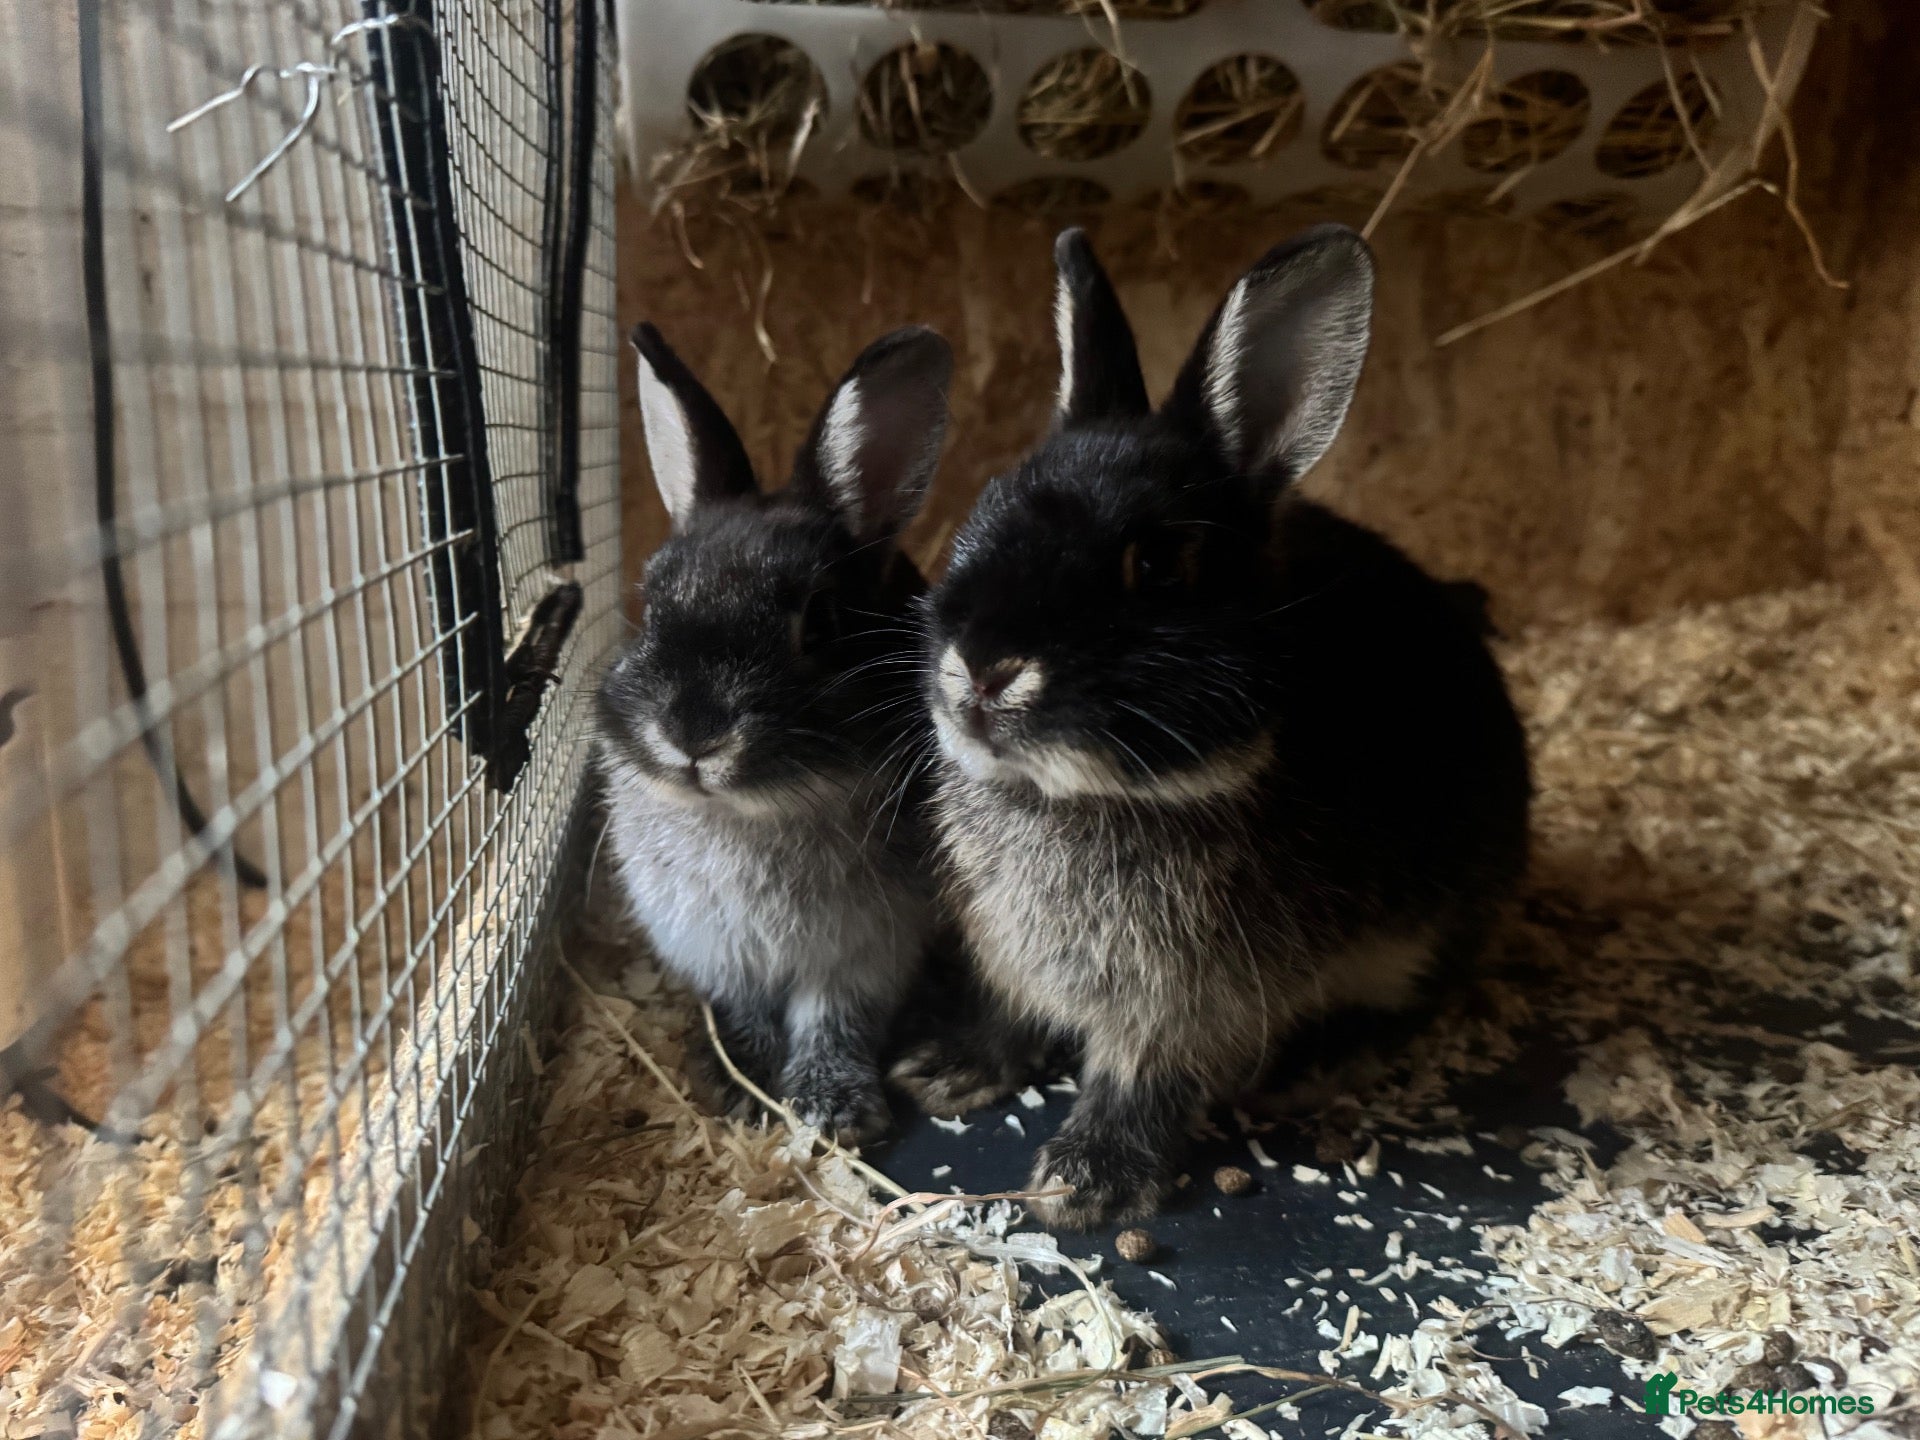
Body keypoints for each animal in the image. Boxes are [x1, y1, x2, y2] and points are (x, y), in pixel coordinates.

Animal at [596, 321, 952, 1145]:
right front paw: (743, 1090)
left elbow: (835, 1021)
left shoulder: (868, 951)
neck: (749, 815)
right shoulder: (715, 951)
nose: (693, 732)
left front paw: (835, 1110)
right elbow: (745, 1013)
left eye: (819, 621)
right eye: (652, 600)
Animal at [892, 225, 1531, 1227]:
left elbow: (1144, 1080)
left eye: (1156, 563)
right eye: (982, 511)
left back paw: (1309, 1067)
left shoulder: (1187, 1007)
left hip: (1428, 928)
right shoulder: (1010, 957)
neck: (1086, 799)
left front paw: (1086, 1183)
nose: (982, 666)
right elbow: (1005, 1014)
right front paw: (946, 1072)